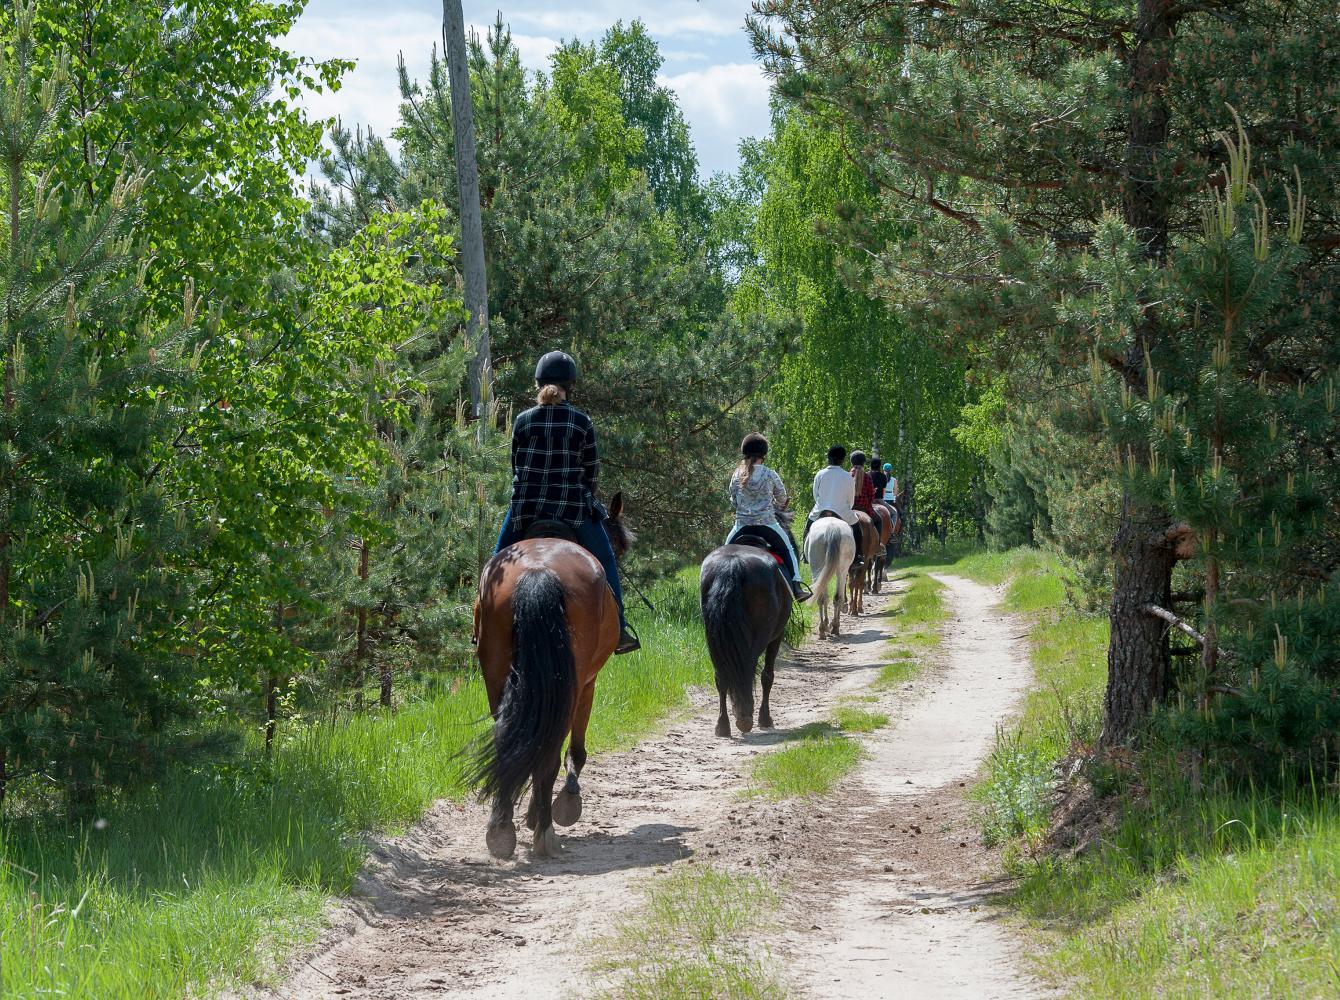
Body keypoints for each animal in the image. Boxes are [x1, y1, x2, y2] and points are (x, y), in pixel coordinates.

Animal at [471, 490, 632, 857]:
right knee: (549, 750)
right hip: (569, 685)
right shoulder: (588, 683)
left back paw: (500, 831)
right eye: (616, 546)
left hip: (496, 673)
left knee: (508, 738)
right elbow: (576, 751)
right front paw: (566, 805)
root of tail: (538, 571)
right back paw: (545, 832)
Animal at [696, 533, 787, 734]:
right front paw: (765, 719)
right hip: (761, 636)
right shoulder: (776, 637)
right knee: (749, 666)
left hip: (714, 639)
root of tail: (732, 563)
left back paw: (723, 725)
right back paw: (745, 717)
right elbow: (767, 675)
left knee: (721, 675)